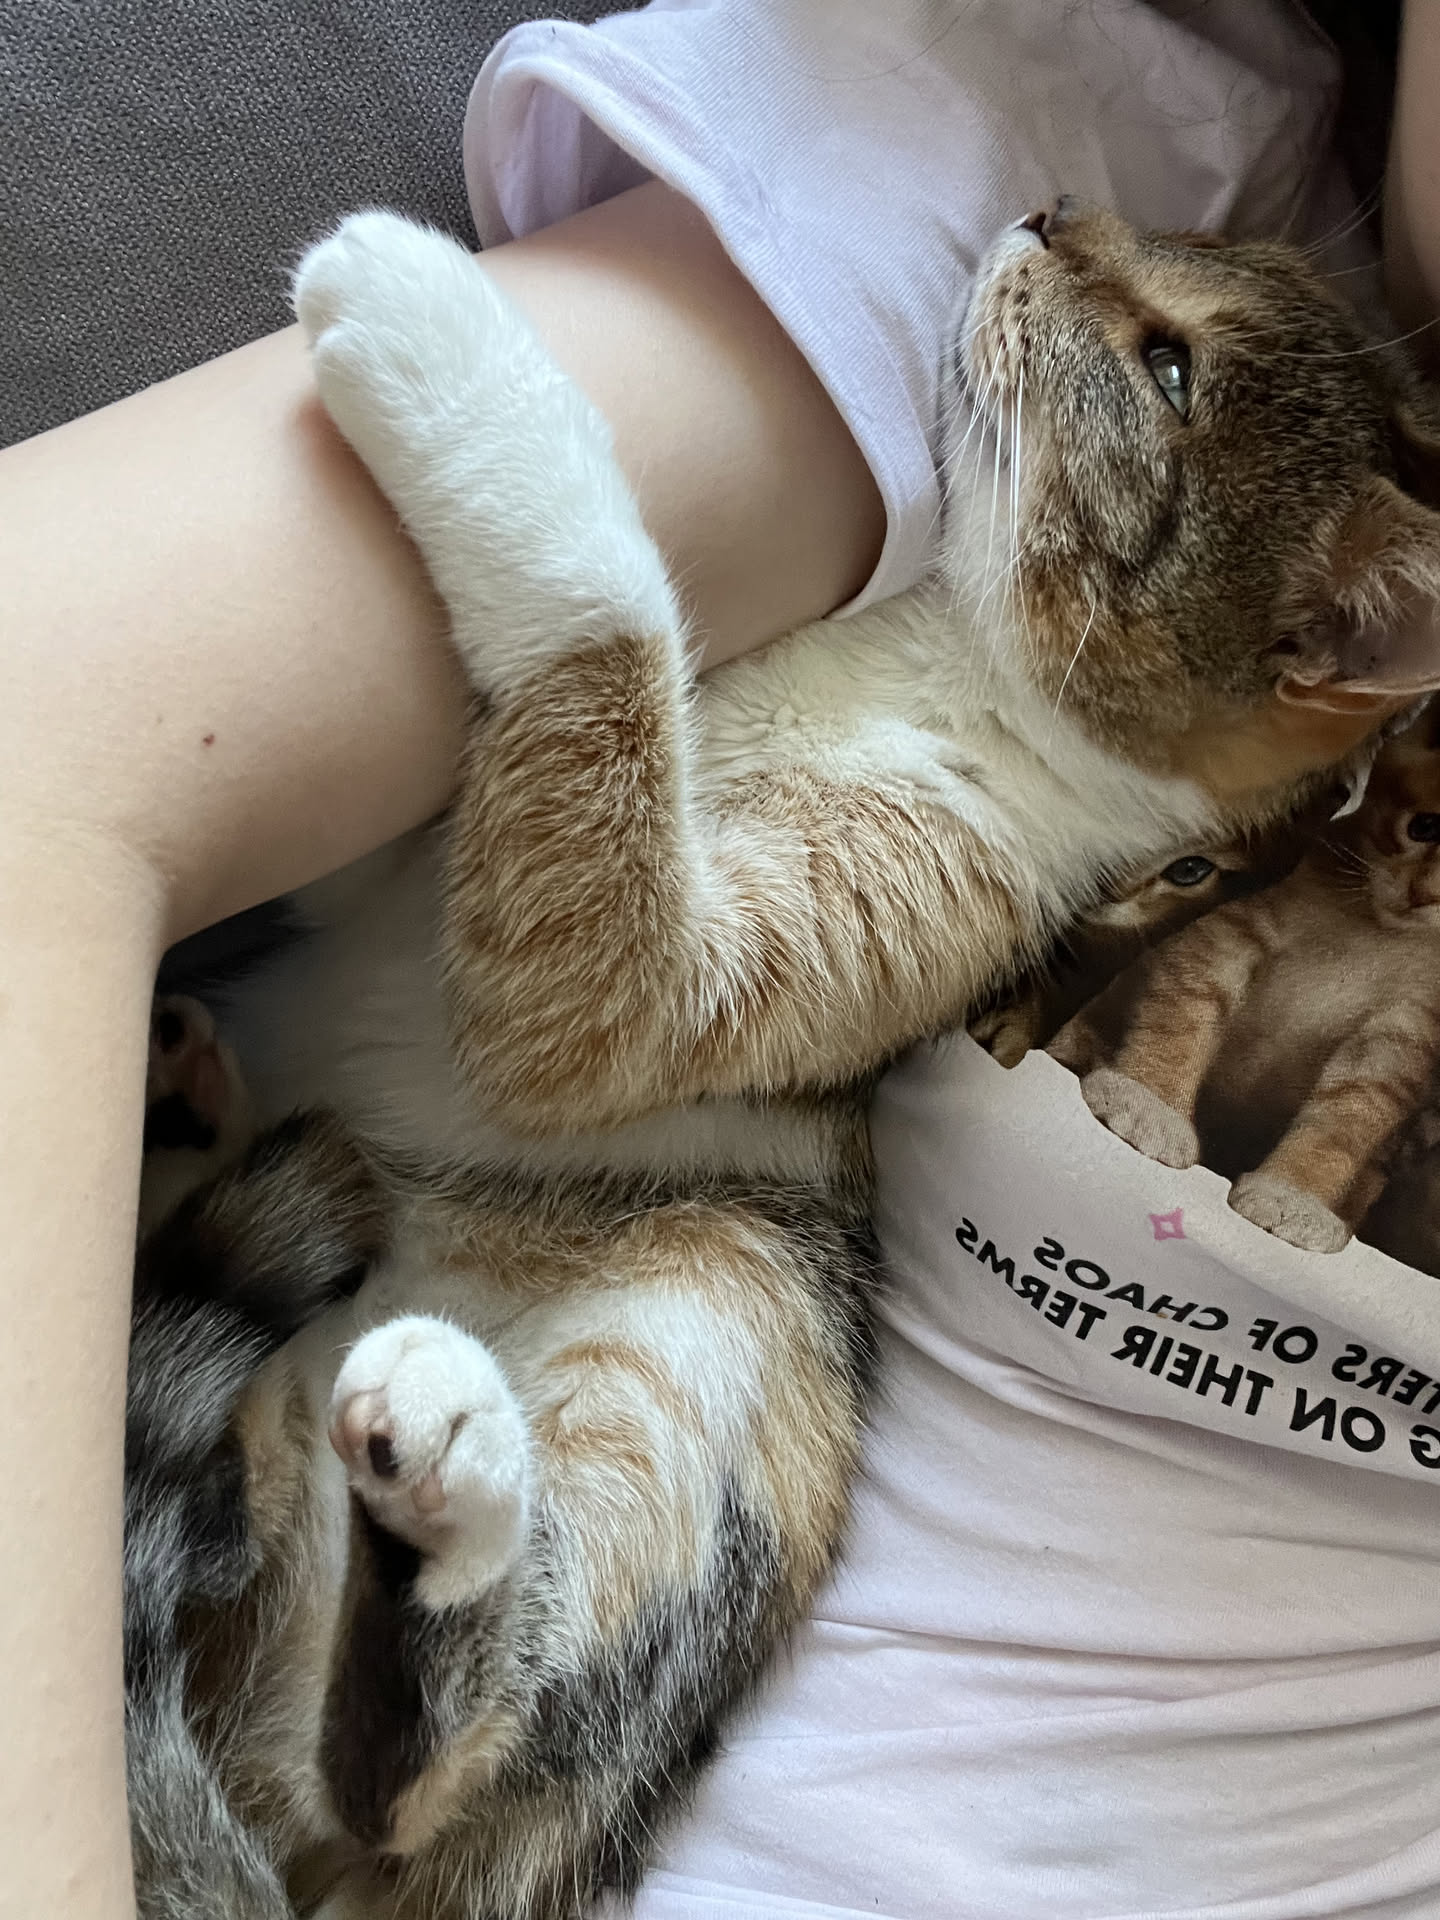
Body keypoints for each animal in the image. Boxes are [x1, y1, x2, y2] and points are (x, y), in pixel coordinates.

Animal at [1053, 707, 1440, 1254]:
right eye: (1425, 826)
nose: (1425, 895)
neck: (1371, 931)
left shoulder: (1407, 1029)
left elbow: (1351, 1113)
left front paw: (1294, 1198)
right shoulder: (1228, 930)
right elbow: (1184, 1015)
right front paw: (1148, 1102)